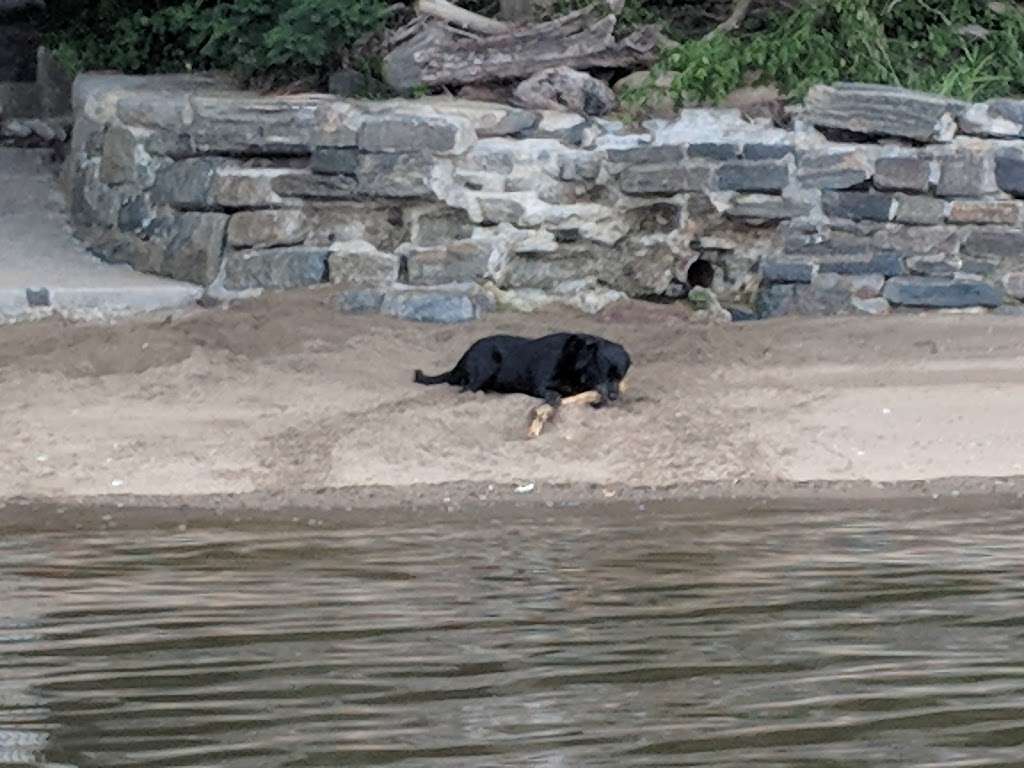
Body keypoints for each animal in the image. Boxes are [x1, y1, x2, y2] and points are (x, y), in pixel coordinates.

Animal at [411, 335, 626, 409]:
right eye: (605, 372)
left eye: (620, 376)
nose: (615, 396)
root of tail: (461, 361)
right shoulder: (541, 382)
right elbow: (548, 390)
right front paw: (554, 397)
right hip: (487, 362)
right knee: (466, 389)